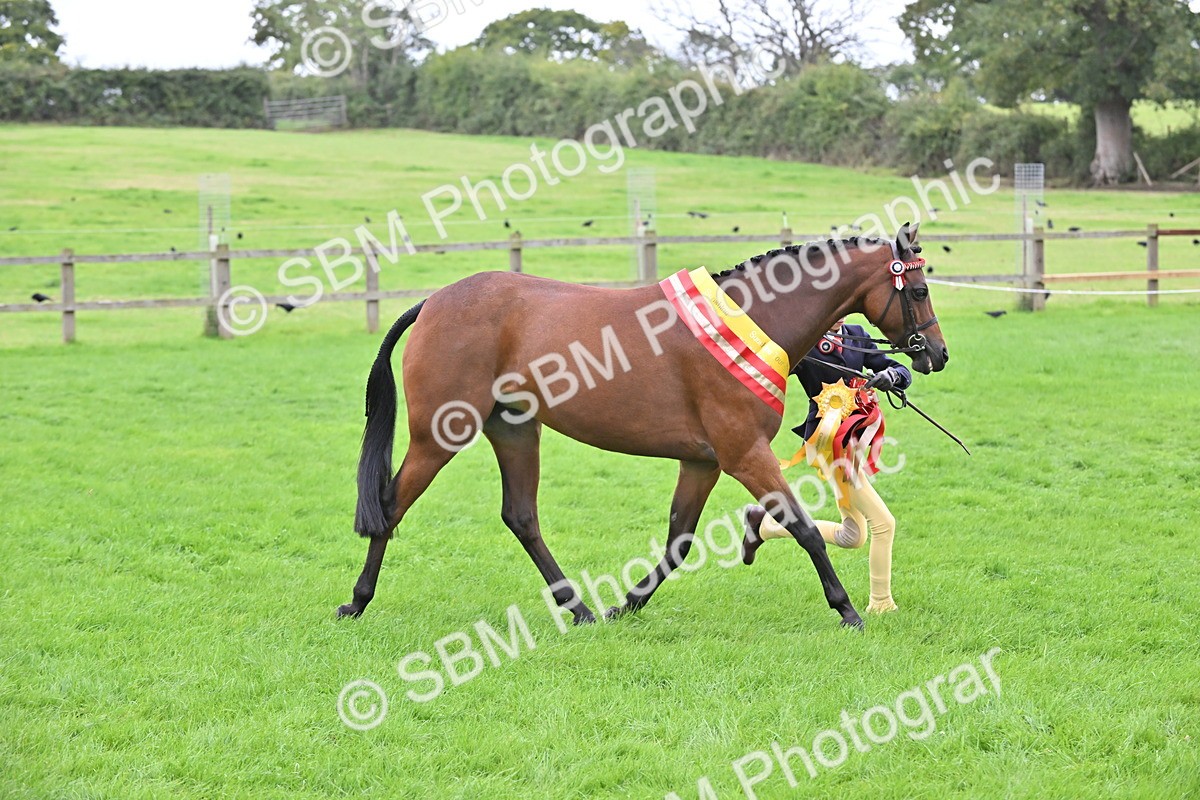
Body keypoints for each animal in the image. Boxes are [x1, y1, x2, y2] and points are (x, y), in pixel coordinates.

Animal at [337, 222, 946, 629]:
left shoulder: (703, 460)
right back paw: (358, 600)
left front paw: (626, 604)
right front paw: (848, 611)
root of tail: (433, 302)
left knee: (521, 517)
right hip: (439, 436)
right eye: (917, 290)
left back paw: (581, 609)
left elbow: (678, 540)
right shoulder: (743, 453)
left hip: (515, 430)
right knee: (391, 505)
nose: (934, 355)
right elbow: (802, 528)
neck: (750, 319)